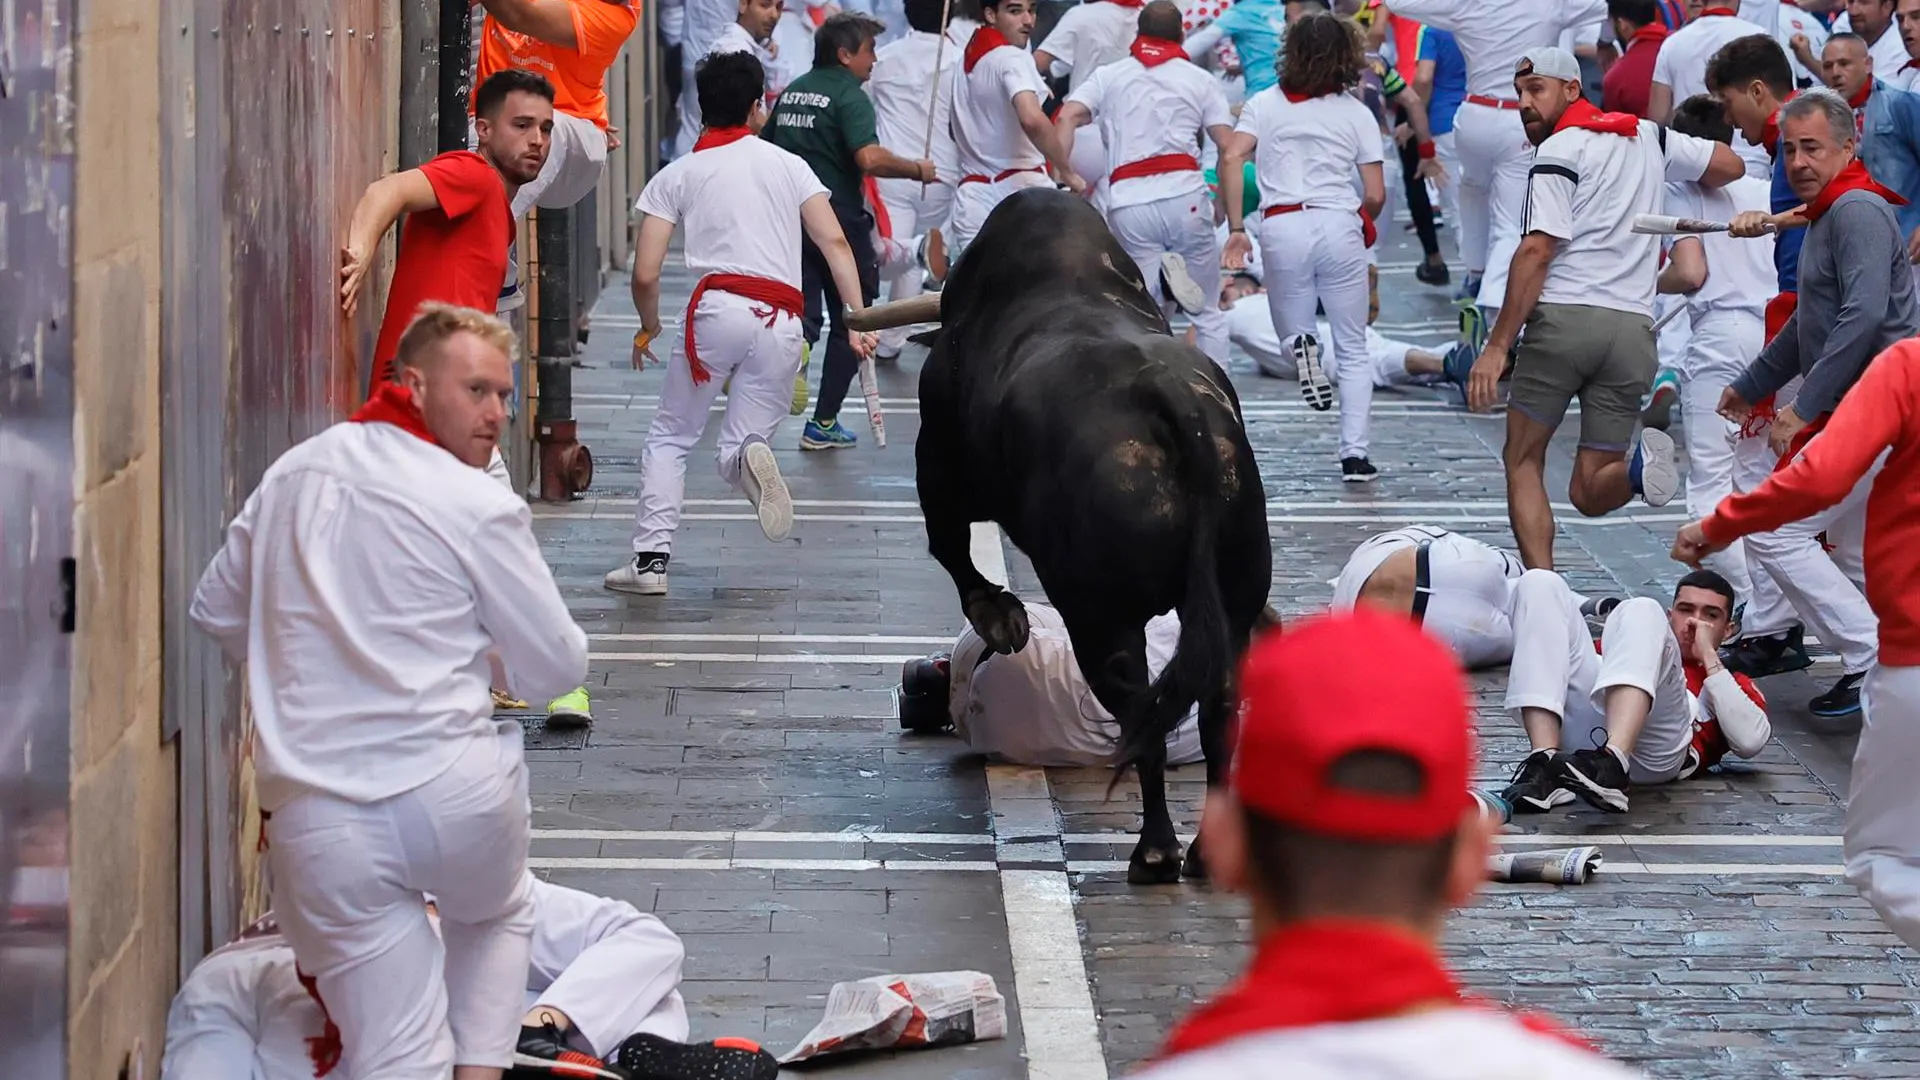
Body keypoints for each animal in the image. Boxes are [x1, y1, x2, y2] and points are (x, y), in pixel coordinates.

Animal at [852, 187, 1274, 883]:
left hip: (1100, 617)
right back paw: (1206, 852)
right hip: (1233, 596)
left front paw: (1001, 618)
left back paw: (1155, 851)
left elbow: (949, 546)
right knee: (1217, 709)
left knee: (1139, 711)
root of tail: (1175, 403)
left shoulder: (938, 465)